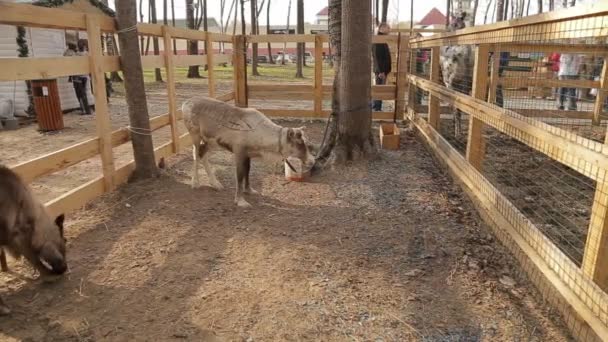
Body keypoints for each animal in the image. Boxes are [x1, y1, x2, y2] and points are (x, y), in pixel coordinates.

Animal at [183, 97, 316, 207]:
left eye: (307, 142)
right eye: (300, 143)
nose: (312, 160)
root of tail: (186, 103)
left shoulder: (248, 155)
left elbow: (247, 171)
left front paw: (249, 190)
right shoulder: (239, 152)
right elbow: (240, 177)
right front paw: (240, 200)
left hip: (211, 142)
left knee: (202, 153)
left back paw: (216, 184)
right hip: (195, 135)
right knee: (196, 155)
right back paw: (195, 182)